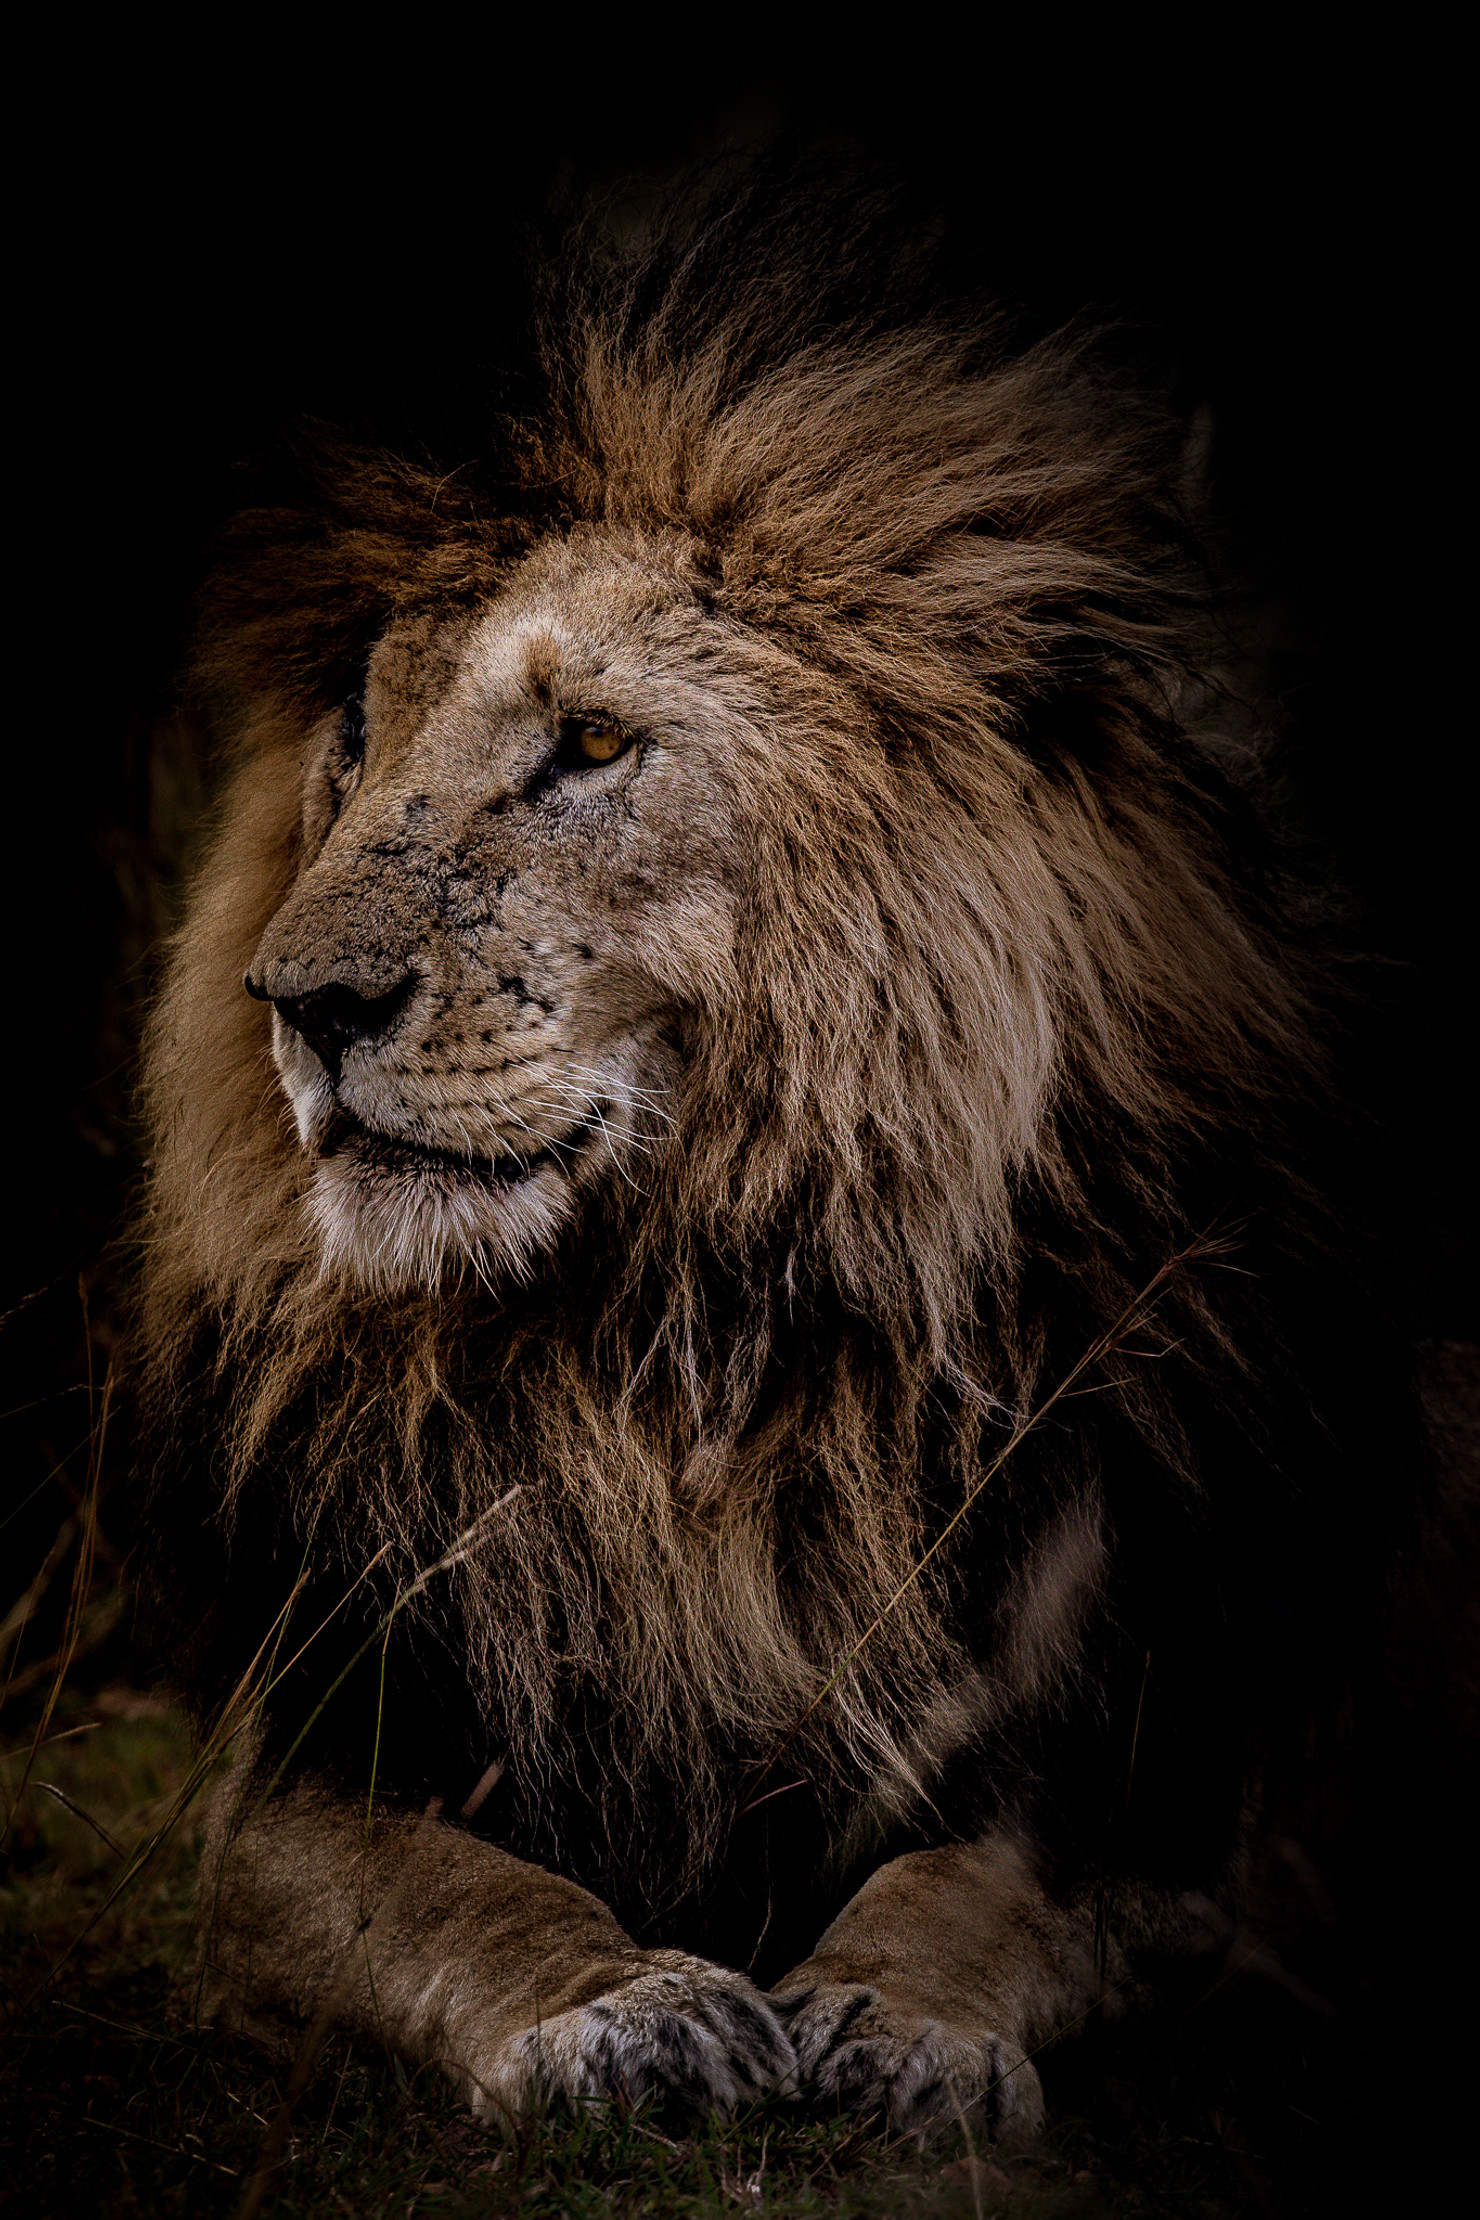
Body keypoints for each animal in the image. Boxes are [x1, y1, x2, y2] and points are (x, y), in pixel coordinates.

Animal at [133, 182, 1409, 2135]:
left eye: (591, 743)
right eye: (356, 736)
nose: (301, 1001)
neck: (683, 1344)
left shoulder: (1182, 1787)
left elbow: (988, 1883)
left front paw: (894, 2022)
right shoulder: (304, 1759)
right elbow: (450, 1887)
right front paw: (620, 2009)